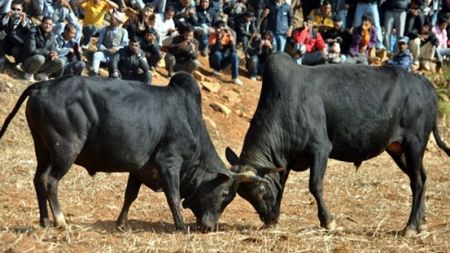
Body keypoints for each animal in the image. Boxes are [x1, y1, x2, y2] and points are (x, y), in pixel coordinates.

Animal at [0, 73, 264, 231]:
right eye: (225, 195)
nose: (209, 227)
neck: (190, 121)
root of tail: (42, 85)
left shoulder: (139, 169)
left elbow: (130, 196)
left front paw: (121, 224)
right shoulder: (169, 163)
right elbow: (173, 196)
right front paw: (181, 226)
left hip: (42, 149)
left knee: (38, 180)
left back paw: (45, 220)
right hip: (64, 150)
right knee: (50, 181)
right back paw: (61, 221)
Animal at [229, 52, 450, 236]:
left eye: (259, 190)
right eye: (244, 195)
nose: (267, 218)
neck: (285, 103)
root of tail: (426, 84)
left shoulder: (320, 149)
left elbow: (315, 186)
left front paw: (328, 221)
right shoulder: (286, 161)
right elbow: (281, 186)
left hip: (414, 144)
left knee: (417, 182)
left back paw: (410, 227)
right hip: (399, 149)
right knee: (421, 178)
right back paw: (421, 222)